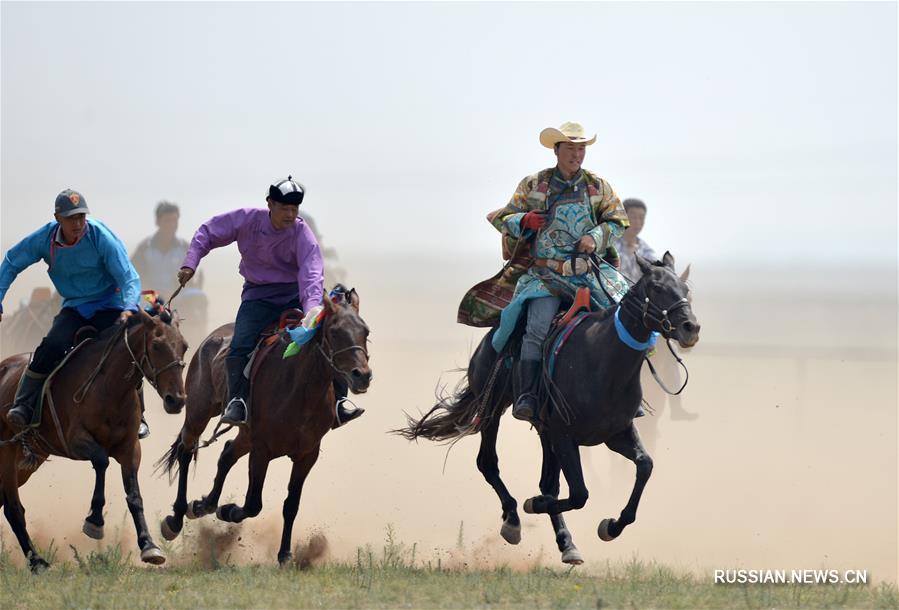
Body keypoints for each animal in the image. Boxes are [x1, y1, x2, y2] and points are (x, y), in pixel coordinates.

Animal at [0, 308, 187, 568]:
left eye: (184, 346)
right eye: (156, 345)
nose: (176, 399)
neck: (109, 388)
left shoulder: (130, 449)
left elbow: (134, 496)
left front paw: (149, 545)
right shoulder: (76, 441)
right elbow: (101, 460)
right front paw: (95, 521)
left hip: (28, 461)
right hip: (7, 454)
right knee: (13, 509)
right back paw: (37, 561)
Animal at [159, 288, 372, 564]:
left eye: (365, 331)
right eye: (334, 332)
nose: (363, 375)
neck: (300, 390)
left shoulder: (307, 454)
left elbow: (291, 505)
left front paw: (285, 554)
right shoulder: (262, 450)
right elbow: (253, 504)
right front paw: (228, 511)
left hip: (245, 434)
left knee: (226, 453)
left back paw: (204, 504)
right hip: (199, 411)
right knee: (187, 451)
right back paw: (176, 519)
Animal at [400, 251, 704, 560]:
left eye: (685, 289)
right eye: (656, 287)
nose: (690, 328)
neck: (603, 360)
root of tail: (487, 342)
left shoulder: (615, 433)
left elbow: (644, 466)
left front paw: (611, 526)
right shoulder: (564, 435)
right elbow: (578, 494)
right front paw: (533, 504)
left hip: (544, 432)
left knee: (548, 482)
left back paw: (566, 543)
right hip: (492, 410)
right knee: (488, 463)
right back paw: (513, 520)